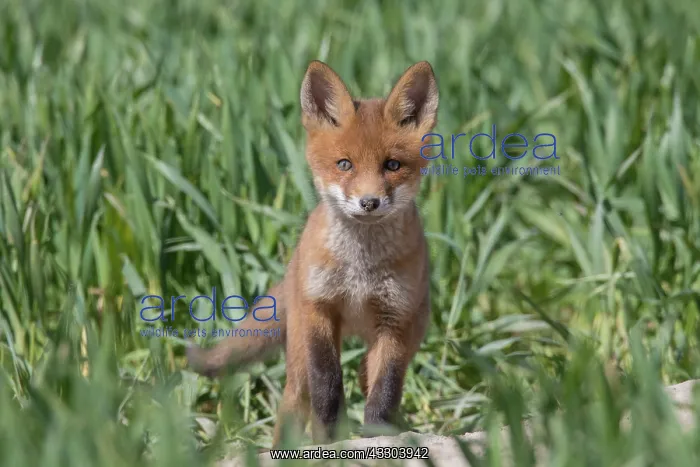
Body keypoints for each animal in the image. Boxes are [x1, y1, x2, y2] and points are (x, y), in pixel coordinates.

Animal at [186, 60, 439, 447]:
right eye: (345, 164)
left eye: (392, 165)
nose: (369, 202)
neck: (360, 270)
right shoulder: (319, 309)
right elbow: (328, 385)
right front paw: (329, 437)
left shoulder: (395, 320)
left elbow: (384, 390)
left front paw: (378, 435)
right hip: (298, 356)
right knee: (296, 400)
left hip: (407, 331)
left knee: (368, 376)